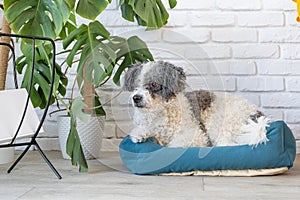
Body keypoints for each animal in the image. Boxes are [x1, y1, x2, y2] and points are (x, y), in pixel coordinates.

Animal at [122, 60, 270, 147]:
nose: (136, 98)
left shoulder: (196, 136)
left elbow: (175, 144)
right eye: (136, 85)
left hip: (219, 124)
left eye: (153, 84)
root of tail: (257, 114)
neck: (159, 112)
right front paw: (140, 134)